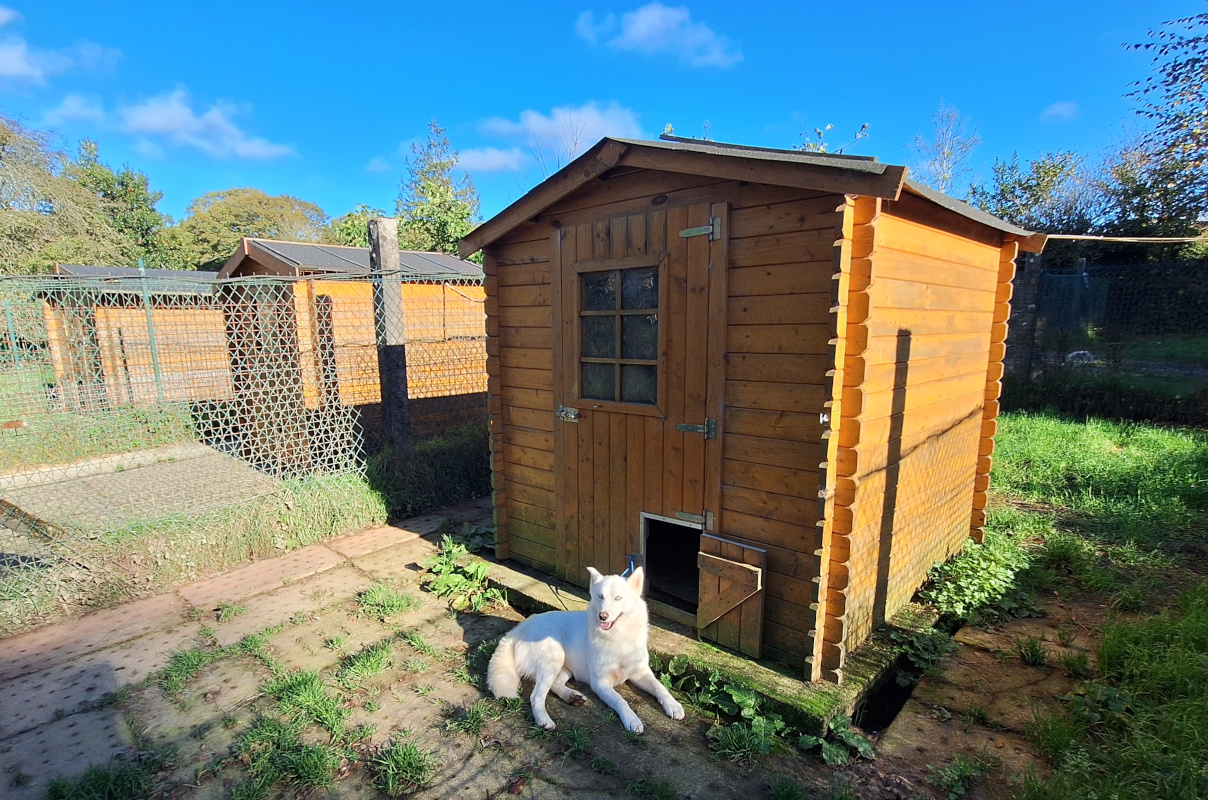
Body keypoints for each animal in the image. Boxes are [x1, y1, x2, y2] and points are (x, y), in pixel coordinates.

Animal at [485, 567, 686, 734]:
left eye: (618, 598)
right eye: (600, 596)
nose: (602, 616)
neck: (618, 636)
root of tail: (518, 629)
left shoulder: (641, 673)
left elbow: (660, 688)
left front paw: (673, 705)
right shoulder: (601, 683)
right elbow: (621, 700)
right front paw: (632, 720)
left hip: (565, 667)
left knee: (554, 685)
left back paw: (572, 696)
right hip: (554, 657)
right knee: (536, 696)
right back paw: (544, 720)